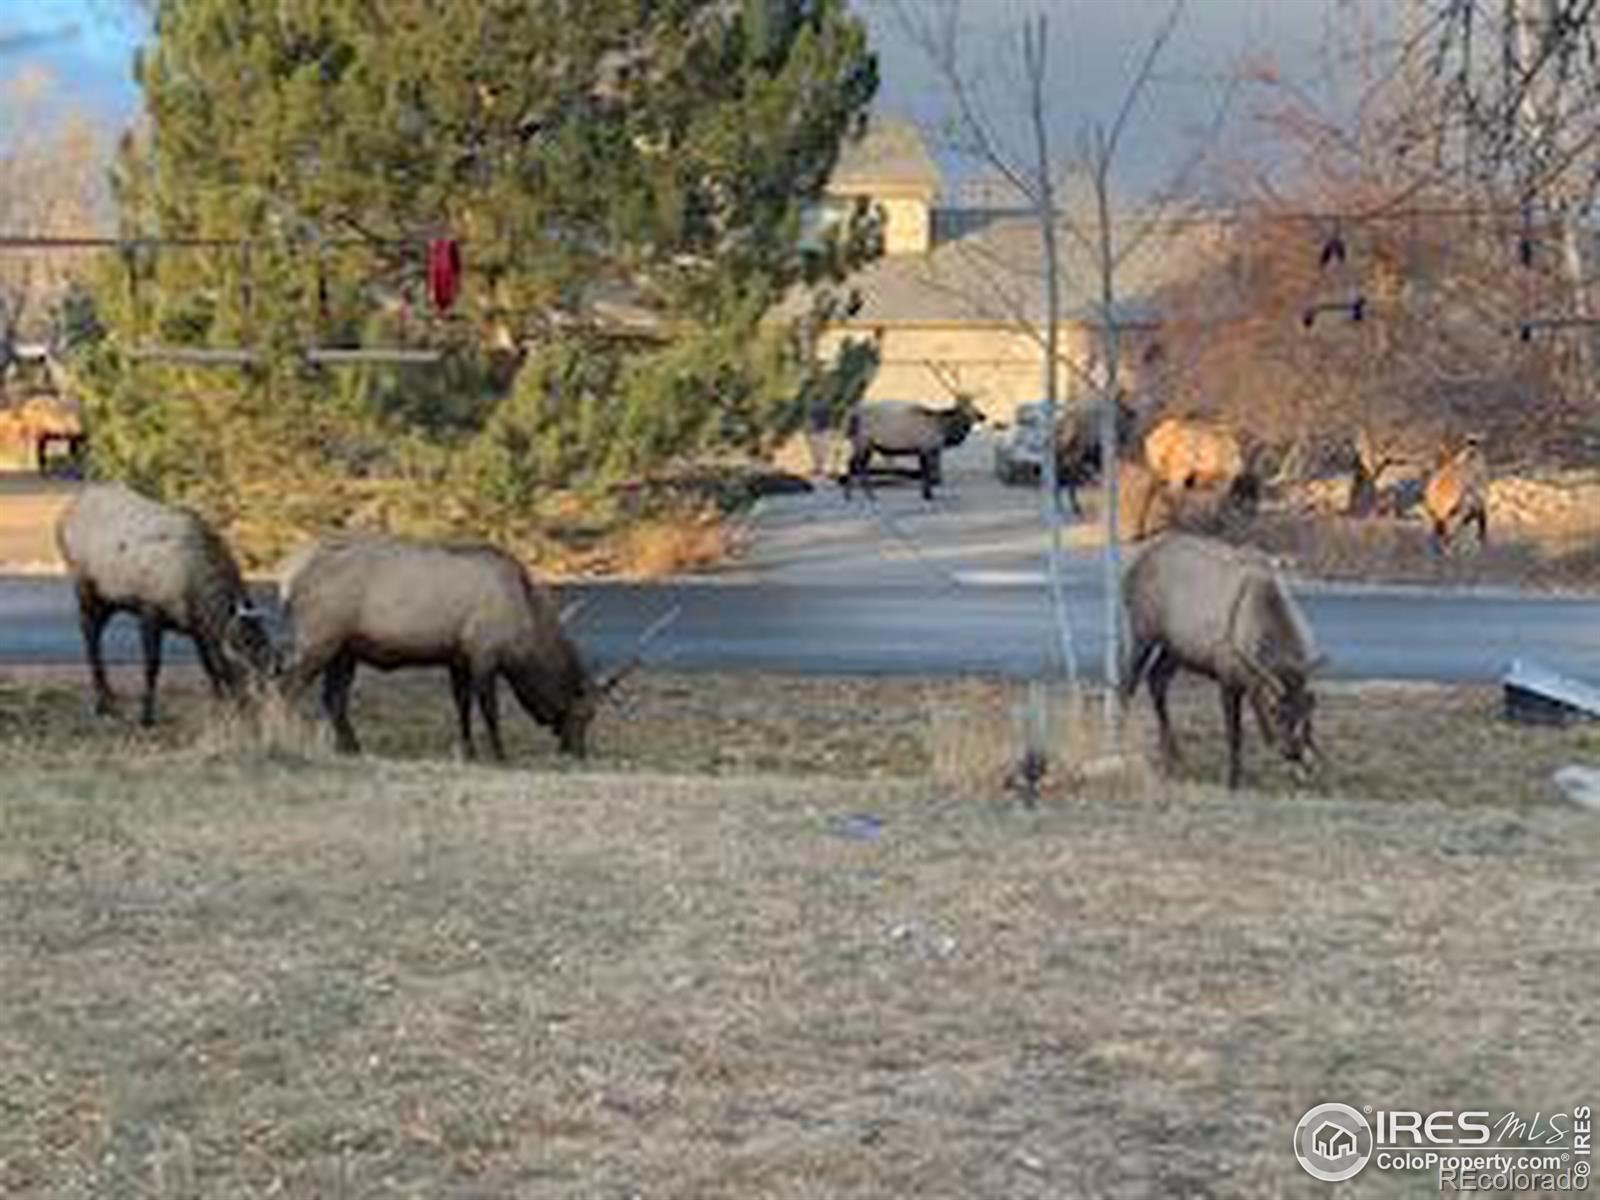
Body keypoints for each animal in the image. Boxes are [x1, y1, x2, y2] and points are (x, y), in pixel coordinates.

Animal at [54, 480, 276, 723]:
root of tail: (64, 516)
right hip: (85, 587)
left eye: (269, 668)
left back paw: (108, 698)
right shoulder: (149, 611)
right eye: (243, 670)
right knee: (89, 633)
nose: (259, 714)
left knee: (95, 631)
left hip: (109, 600)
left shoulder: (198, 627)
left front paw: (220, 706)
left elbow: (208, 665)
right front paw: (146, 715)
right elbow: (152, 665)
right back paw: (103, 703)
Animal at [276, 534, 675, 761]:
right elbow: (489, 709)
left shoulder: (458, 657)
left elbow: (462, 705)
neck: (525, 629)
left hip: (345, 648)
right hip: (318, 638)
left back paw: (350, 747)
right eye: (584, 714)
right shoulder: (485, 653)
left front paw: (468, 750)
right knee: (287, 684)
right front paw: (499, 754)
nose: (577, 753)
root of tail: (288, 578)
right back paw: (285, 738)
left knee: (333, 697)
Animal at [838, 400, 985, 502]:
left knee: (858, 465)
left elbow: (926, 473)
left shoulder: (924, 451)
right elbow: (928, 473)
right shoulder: (927, 448)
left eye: (975, 407)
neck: (943, 429)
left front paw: (926, 494)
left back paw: (863, 495)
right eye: (967, 410)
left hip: (867, 445)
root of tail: (851, 416)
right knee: (854, 465)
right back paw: (856, 495)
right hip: (863, 442)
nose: (983, 416)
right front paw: (928, 495)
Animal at [1113, 534, 1324, 790]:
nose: (1292, 751)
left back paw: (1174, 755)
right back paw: (1120, 743)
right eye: (1275, 710)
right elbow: (1234, 734)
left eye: (1308, 710)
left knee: (1156, 680)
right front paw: (1233, 780)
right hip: (1143, 634)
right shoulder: (1227, 678)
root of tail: (1129, 573)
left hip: (1176, 648)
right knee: (1127, 683)